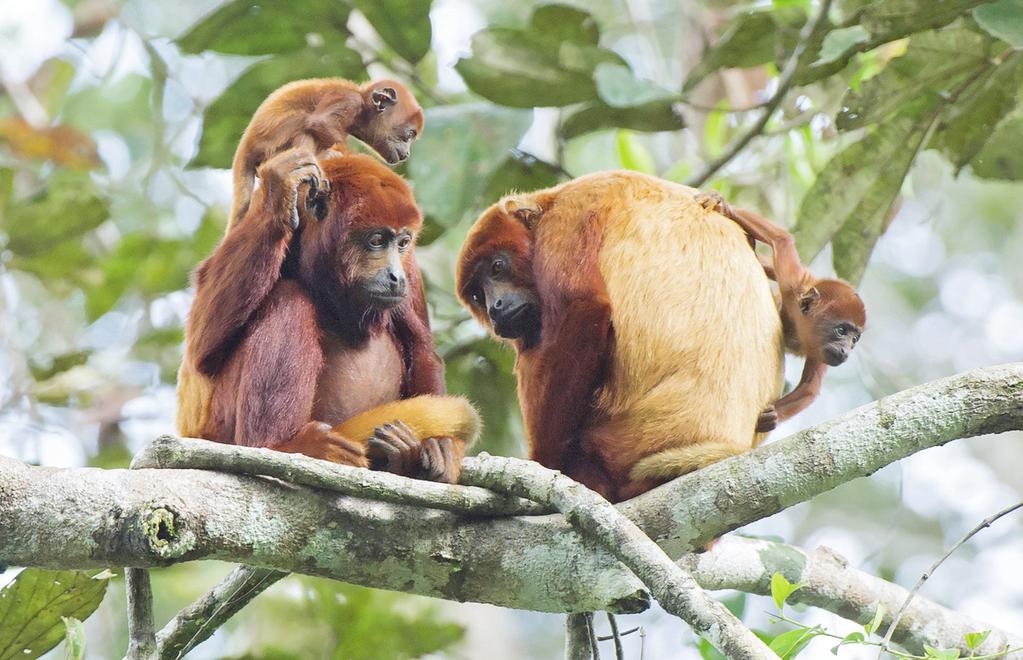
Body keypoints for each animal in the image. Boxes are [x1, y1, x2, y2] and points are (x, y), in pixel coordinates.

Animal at [174, 148, 474, 478]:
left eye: (403, 242)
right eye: (377, 240)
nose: (395, 277)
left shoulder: (411, 268)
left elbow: (421, 347)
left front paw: (441, 446)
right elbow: (201, 352)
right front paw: (278, 191)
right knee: (289, 299)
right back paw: (282, 445)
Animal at [228, 78, 423, 229]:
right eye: (409, 135)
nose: (407, 153)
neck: (361, 98)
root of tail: (246, 144)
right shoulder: (348, 100)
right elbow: (318, 123)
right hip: (272, 142)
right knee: (304, 126)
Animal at [456, 172, 781, 501]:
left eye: (498, 267)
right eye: (477, 294)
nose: (495, 308)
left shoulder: (568, 217)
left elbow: (583, 304)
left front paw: (546, 465)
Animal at [695, 189, 863, 431]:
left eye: (854, 340)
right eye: (841, 331)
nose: (845, 351)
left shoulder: (819, 349)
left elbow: (809, 388)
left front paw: (773, 415)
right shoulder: (795, 285)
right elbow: (782, 240)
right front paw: (723, 204)